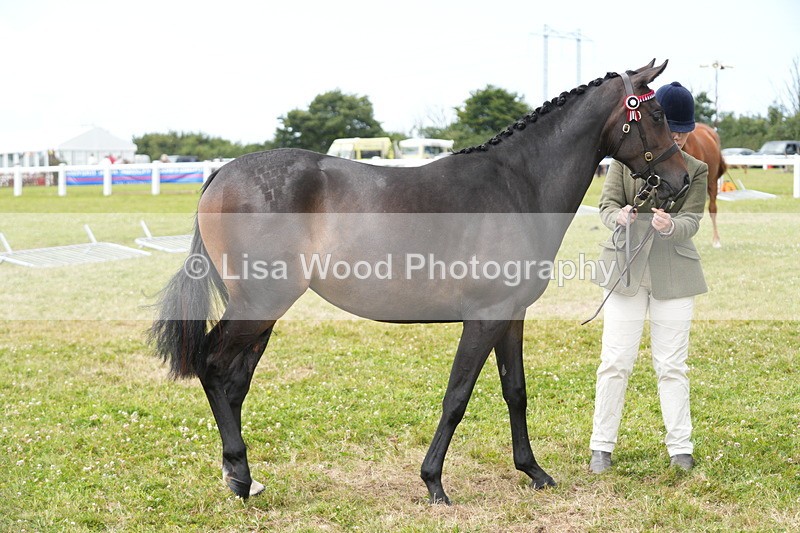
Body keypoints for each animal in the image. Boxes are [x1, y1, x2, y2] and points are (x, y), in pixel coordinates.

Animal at [149, 60, 689, 505]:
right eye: (655, 114)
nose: (682, 180)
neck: (517, 185)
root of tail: (220, 175)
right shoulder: (483, 319)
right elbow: (457, 397)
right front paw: (433, 483)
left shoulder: (511, 316)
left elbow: (515, 390)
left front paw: (533, 472)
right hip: (260, 304)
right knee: (213, 366)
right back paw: (240, 479)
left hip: (264, 311)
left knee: (235, 381)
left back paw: (245, 476)